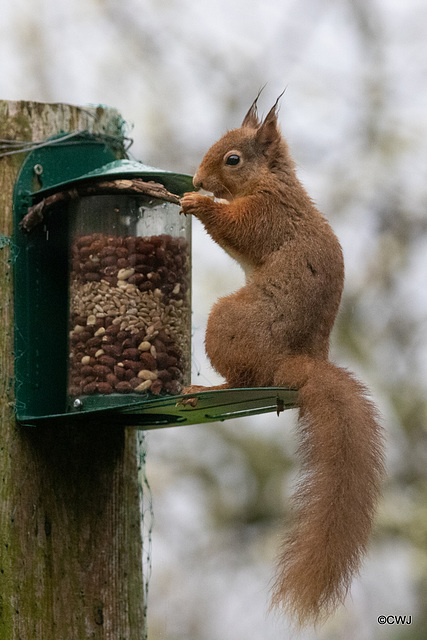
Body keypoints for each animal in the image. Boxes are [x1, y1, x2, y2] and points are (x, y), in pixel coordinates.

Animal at [179, 95, 386, 624]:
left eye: (232, 159)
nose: (196, 181)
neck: (272, 181)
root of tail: (300, 364)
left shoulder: (268, 214)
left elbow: (238, 228)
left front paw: (198, 205)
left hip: (228, 324)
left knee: (242, 378)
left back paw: (204, 389)